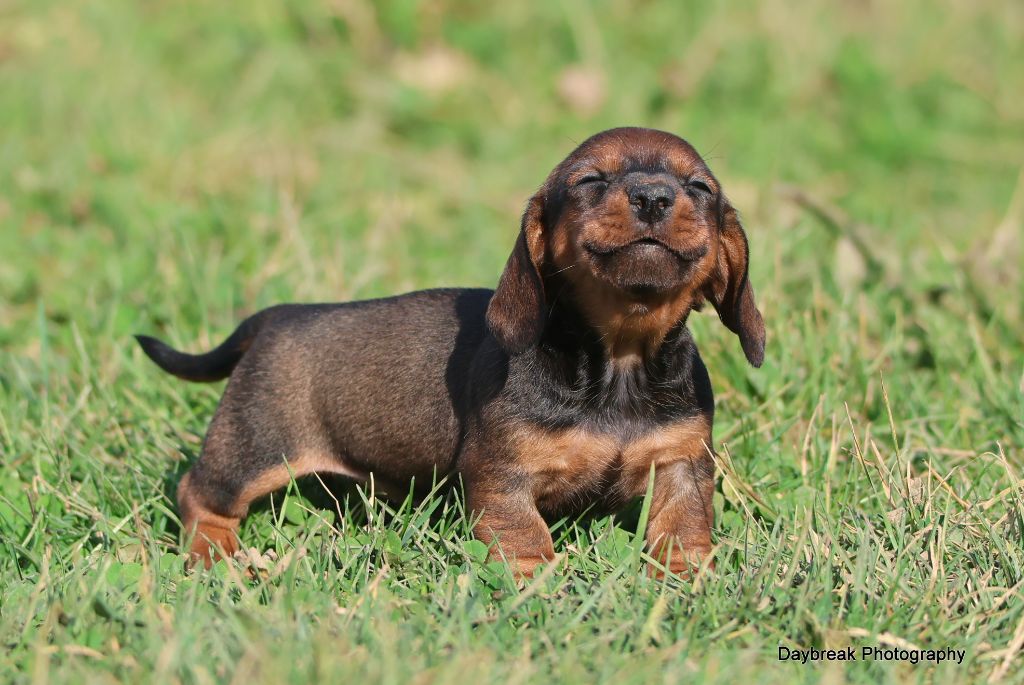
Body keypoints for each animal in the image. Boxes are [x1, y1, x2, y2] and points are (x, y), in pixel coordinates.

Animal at [137, 127, 765, 577]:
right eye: (590, 179)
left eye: (700, 188)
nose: (654, 197)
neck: (620, 359)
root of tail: (278, 316)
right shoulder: (502, 474)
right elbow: (523, 533)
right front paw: (533, 581)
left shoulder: (681, 462)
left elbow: (683, 524)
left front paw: (686, 576)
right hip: (256, 446)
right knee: (200, 494)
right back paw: (215, 557)